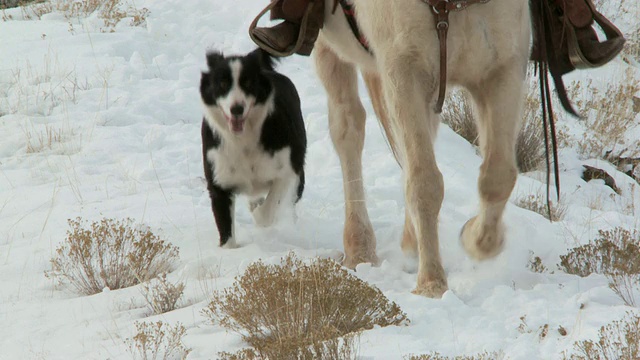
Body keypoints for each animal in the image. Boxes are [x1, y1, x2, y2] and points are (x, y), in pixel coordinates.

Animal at [314, 0, 528, 296]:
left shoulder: (502, 70)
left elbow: (498, 177)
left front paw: (474, 239)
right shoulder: (404, 74)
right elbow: (425, 182)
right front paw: (431, 282)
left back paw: (409, 241)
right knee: (348, 127)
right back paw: (359, 250)